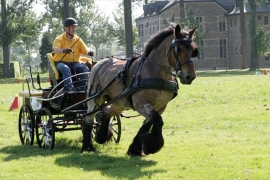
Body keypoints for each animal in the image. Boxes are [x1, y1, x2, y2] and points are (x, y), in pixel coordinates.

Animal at [81, 23, 197, 156]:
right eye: (178, 49)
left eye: (193, 50)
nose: (190, 76)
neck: (157, 74)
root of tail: (100, 63)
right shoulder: (140, 103)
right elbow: (158, 120)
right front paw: (152, 146)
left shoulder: (160, 106)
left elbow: (148, 123)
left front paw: (135, 149)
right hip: (94, 98)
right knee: (89, 119)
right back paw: (87, 147)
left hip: (119, 102)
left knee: (106, 112)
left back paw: (102, 136)